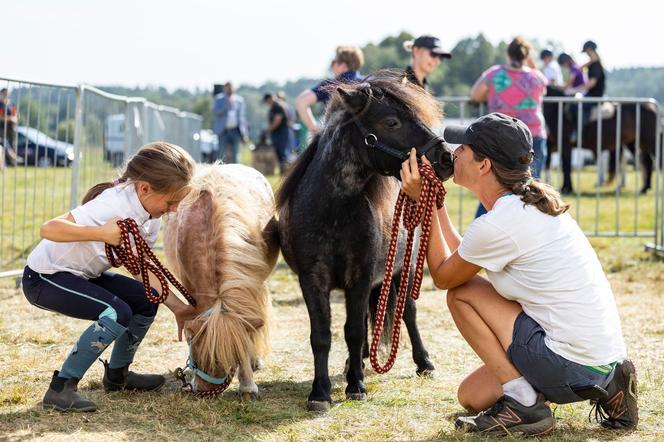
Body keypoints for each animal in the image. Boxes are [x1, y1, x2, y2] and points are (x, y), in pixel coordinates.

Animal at [276, 71, 456, 412]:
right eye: (392, 122)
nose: (446, 157)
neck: (331, 210)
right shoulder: (312, 279)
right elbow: (322, 335)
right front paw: (320, 392)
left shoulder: (359, 278)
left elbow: (355, 330)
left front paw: (356, 386)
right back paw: (353, 363)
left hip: (403, 270)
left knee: (407, 313)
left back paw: (423, 363)